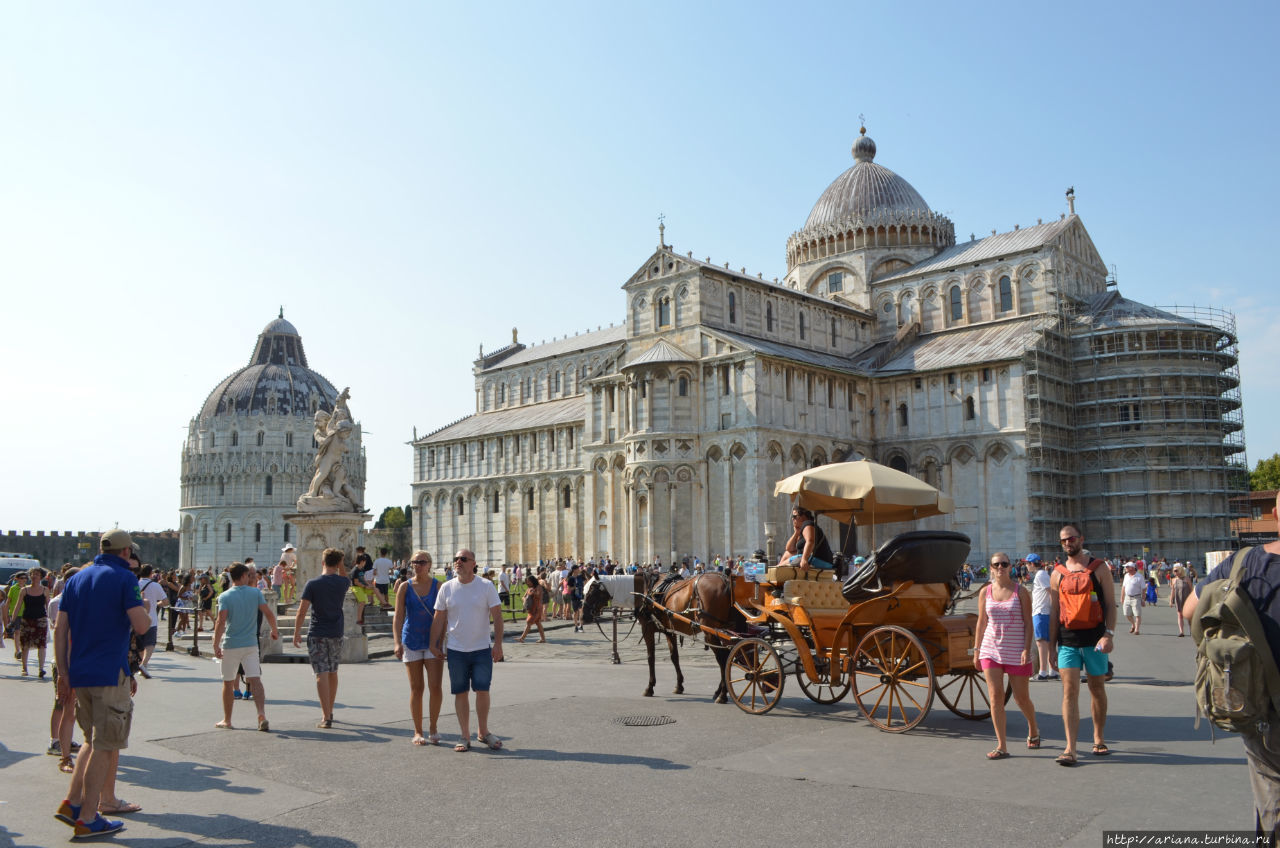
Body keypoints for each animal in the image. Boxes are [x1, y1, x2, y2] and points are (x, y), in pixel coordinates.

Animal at [581, 573, 742, 707]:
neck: (644, 592)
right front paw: (679, 685)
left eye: (591, 592)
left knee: (723, 659)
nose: (583, 617)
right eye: (584, 592)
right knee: (730, 655)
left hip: (711, 631)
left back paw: (722, 695)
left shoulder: (647, 629)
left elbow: (650, 657)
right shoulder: (669, 631)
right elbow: (674, 657)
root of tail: (725, 581)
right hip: (728, 629)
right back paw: (719, 691)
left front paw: (649, 687)